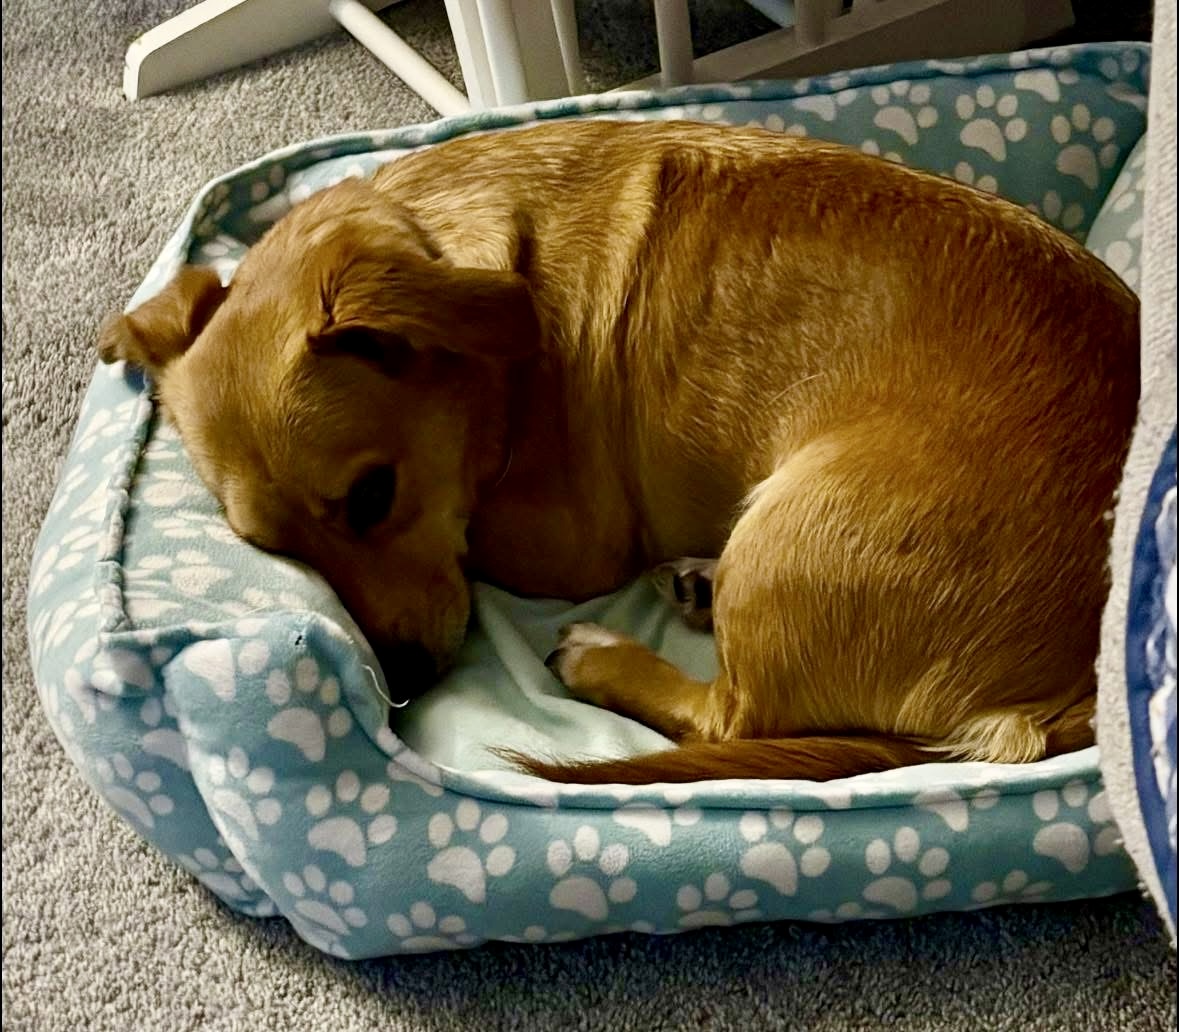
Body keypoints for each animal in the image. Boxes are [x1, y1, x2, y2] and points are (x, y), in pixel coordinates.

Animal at [97, 119, 1140, 784]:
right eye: (275, 553)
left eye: (370, 496)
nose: (397, 682)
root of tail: (1073, 699)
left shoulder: (561, 544)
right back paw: (695, 584)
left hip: (788, 534)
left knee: (730, 714)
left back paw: (606, 658)